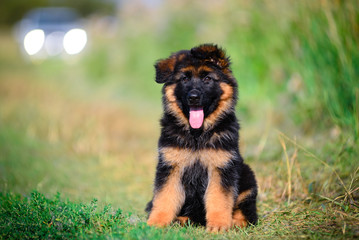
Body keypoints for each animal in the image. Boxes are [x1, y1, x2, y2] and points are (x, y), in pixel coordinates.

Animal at [146, 44, 258, 232]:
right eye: (184, 79)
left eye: (207, 78)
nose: (193, 97)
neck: (197, 135)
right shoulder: (171, 167)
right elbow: (164, 197)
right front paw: (156, 223)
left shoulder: (221, 168)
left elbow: (219, 199)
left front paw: (219, 225)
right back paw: (181, 220)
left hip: (247, 180)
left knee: (249, 215)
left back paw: (235, 223)